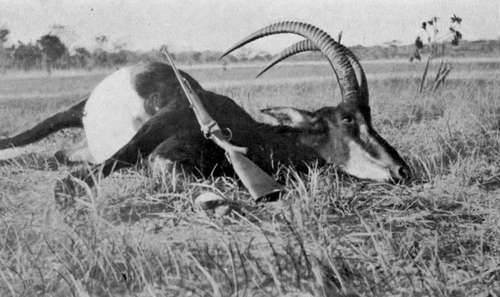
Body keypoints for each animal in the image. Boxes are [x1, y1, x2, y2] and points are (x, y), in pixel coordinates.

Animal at [0, 21, 410, 201]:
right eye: (348, 119)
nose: (402, 170)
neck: (247, 134)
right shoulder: (159, 142)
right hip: (77, 117)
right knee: (37, 146)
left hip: (84, 144)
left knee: (58, 155)